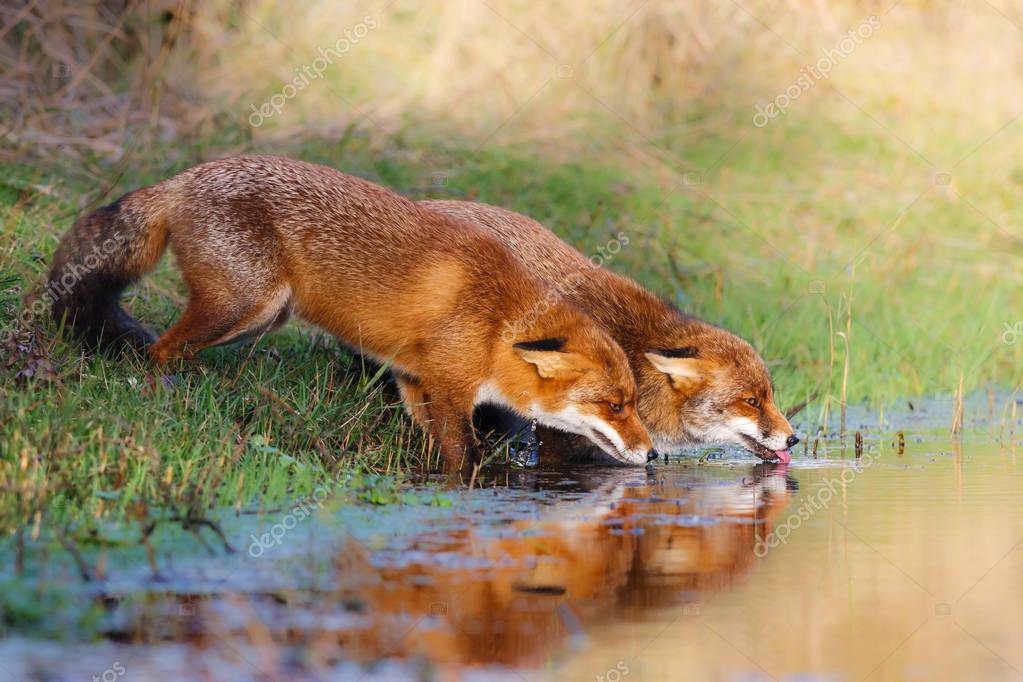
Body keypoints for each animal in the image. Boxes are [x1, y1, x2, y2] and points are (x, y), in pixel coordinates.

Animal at [47, 155, 656, 471]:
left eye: (633, 402)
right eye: (615, 405)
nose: (653, 455)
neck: (494, 322)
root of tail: (186, 177)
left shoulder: (415, 379)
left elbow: (429, 437)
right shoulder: (451, 389)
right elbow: (462, 457)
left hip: (262, 315)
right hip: (244, 306)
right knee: (160, 349)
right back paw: (168, 393)